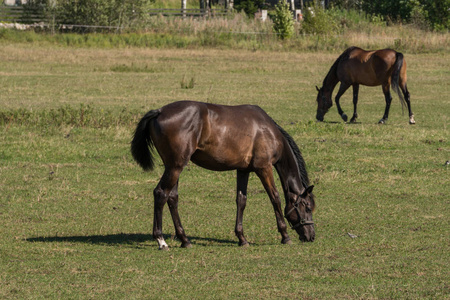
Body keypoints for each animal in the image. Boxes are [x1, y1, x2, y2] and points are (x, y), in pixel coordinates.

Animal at [130, 101, 314, 251]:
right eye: (307, 207)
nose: (311, 236)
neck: (267, 131)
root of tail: (159, 111)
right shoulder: (264, 168)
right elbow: (275, 198)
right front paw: (285, 236)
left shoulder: (243, 170)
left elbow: (241, 201)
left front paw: (242, 238)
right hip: (175, 167)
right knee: (161, 194)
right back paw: (161, 241)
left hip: (174, 167)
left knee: (172, 198)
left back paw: (185, 240)